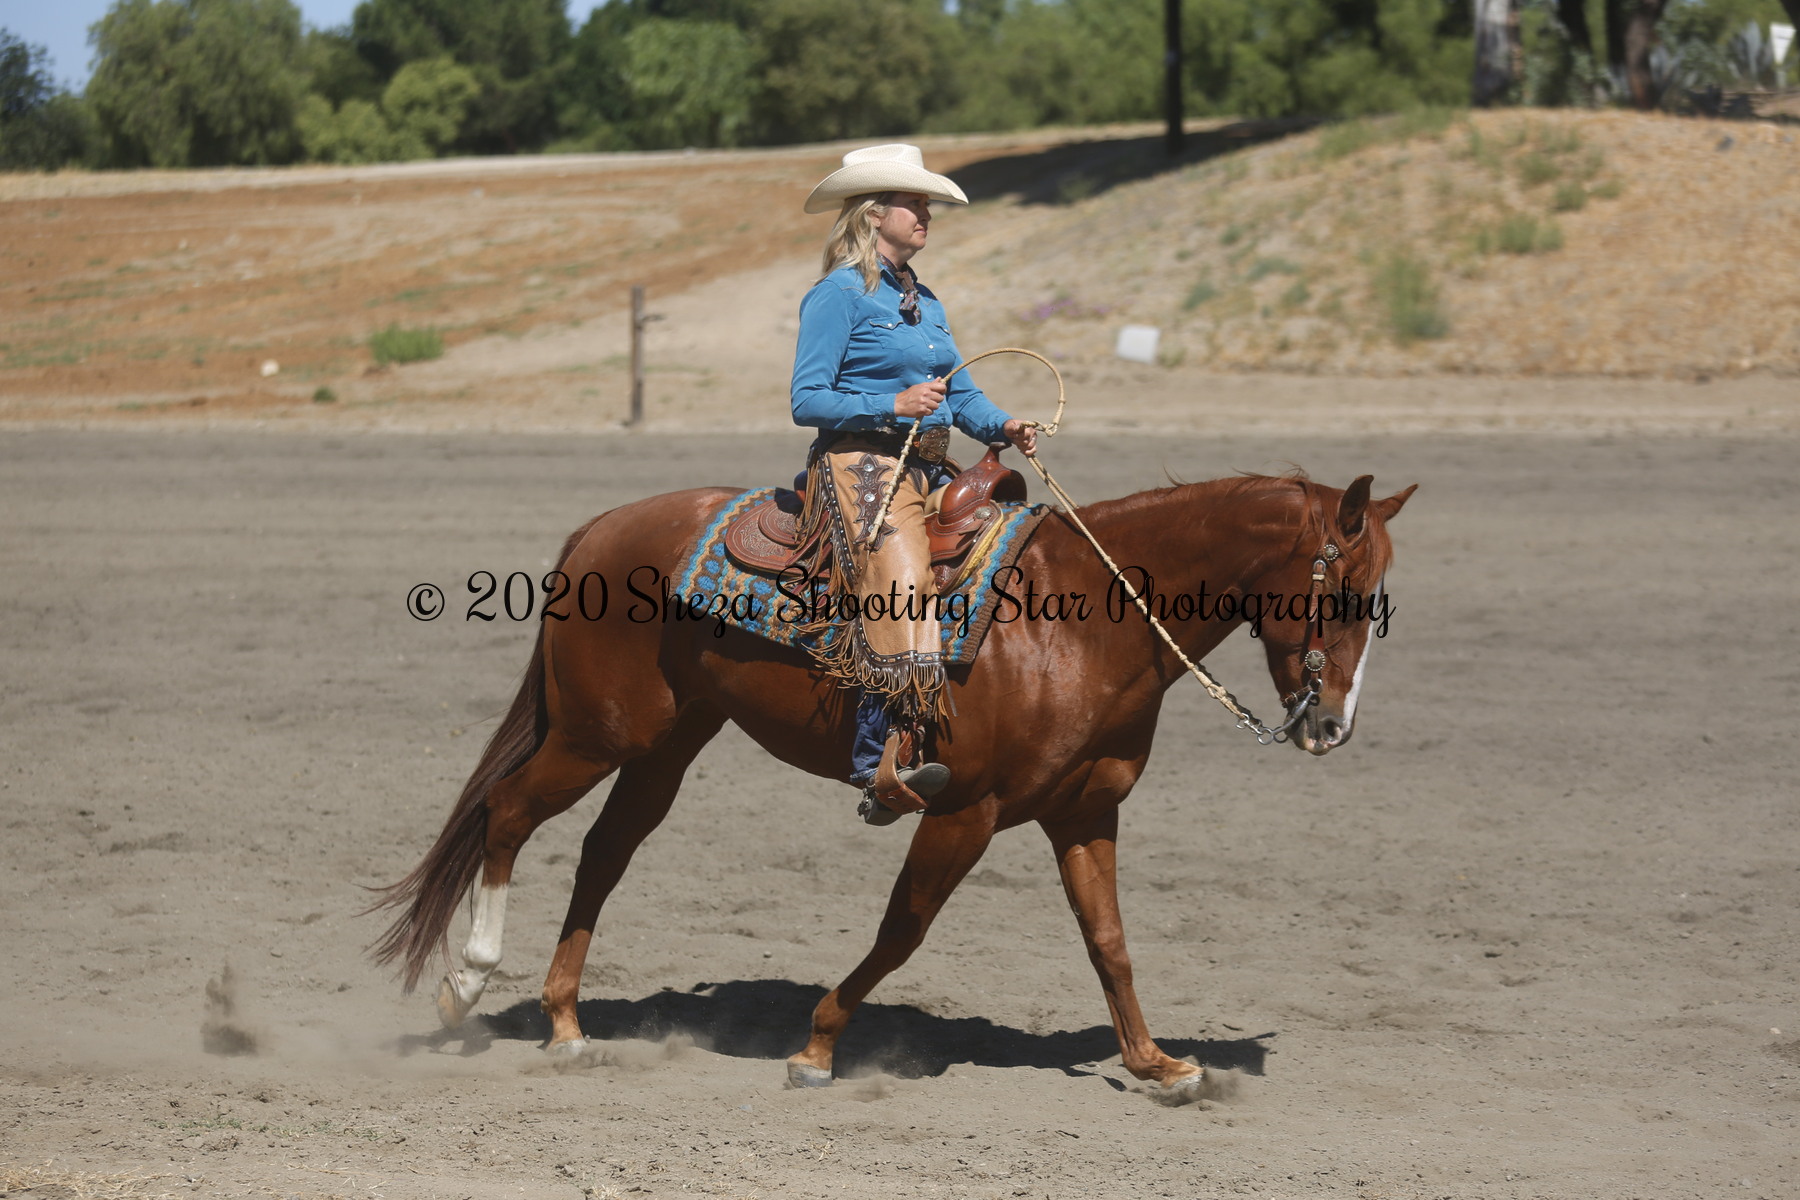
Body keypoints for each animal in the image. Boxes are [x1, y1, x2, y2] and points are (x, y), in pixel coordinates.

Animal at [368, 465, 1414, 1099]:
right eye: (1346, 593)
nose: (1332, 727)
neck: (1082, 620)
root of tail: (598, 529)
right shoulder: (963, 809)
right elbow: (902, 930)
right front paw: (817, 1046)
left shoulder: (1084, 813)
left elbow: (1110, 942)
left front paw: (1158, 1065)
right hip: (599, 733)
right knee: (508, 813)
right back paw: (466, 985)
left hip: (667, 743)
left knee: (602, 855)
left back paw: (565, 1023)